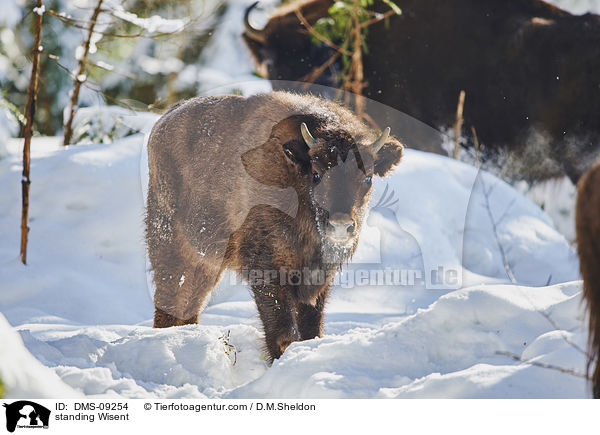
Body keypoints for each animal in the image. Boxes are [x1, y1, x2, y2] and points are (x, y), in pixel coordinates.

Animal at [146, 91, 404, 362]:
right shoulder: (268, 269)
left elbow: (311, 329)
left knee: (189, 305)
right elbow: (282, 333)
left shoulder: (317, 280)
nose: (340, 226)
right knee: (169, 299)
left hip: (207, 263)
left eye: (368, 178)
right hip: (170, 245)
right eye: (316, 174)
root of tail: (163, 122)